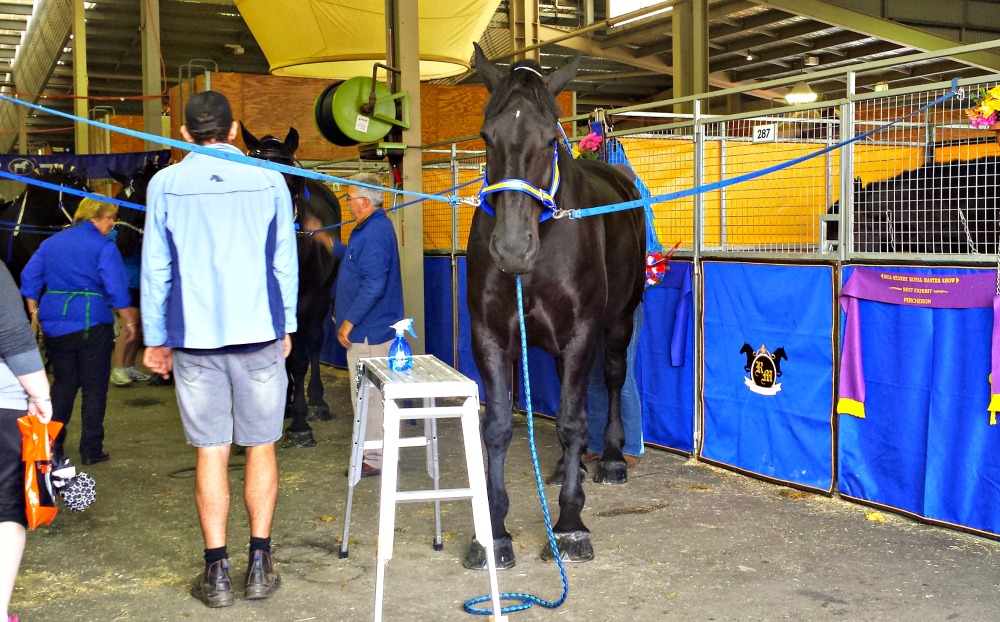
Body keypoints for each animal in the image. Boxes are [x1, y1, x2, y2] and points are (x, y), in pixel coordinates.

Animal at [240, 125, 342, 448]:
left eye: (292, 184)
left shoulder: (302, 301)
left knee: (313, 341)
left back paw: (315, 402)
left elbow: (298, 358)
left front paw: (300, 426)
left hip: (320, 296)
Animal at [464, 42, 644, 572]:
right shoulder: (489, 335)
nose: (511, 249)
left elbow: (569, 420)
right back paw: (570, 465)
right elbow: (498, 426)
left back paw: (608, 459)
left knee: (608, 381)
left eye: (549, 140)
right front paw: (494, 532)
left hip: (617, 323)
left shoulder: (582, 331)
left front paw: (569, 525)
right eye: (486, 136)